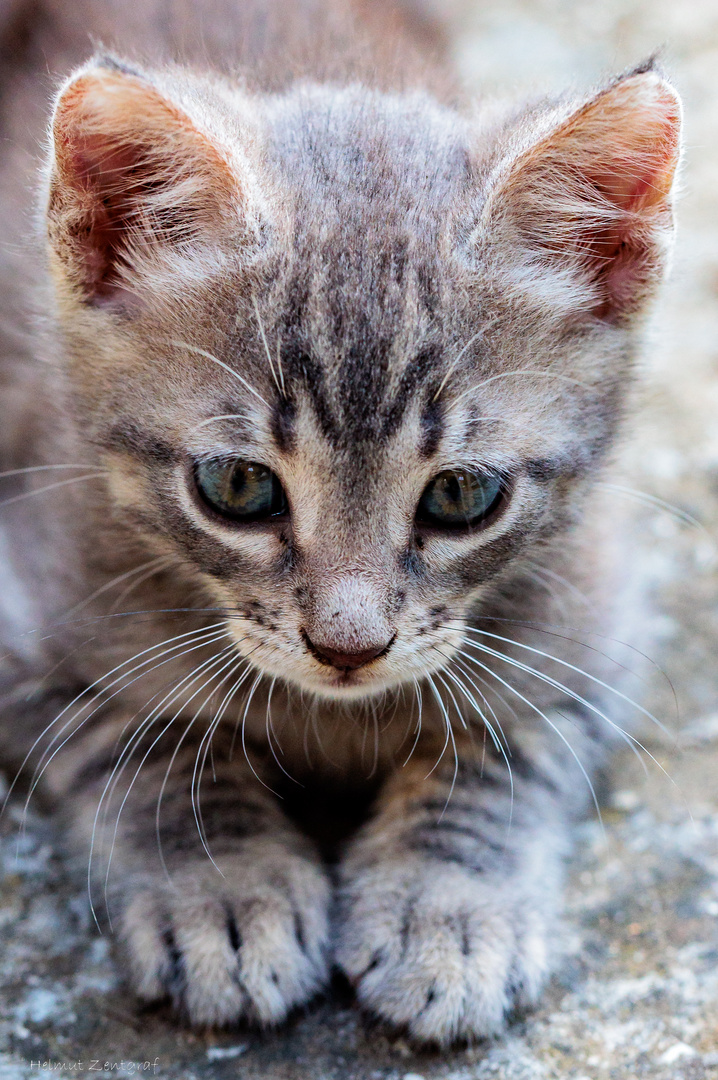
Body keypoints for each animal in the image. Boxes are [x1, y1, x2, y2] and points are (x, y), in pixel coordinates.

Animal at [0, 0, 678, 1049]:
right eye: (238, 486)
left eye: (460, 496)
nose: (348, 646)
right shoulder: (27, 595)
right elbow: (141, 742)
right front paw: (224, 891)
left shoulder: (600, 620)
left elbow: (501, 747)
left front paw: (446, 912)